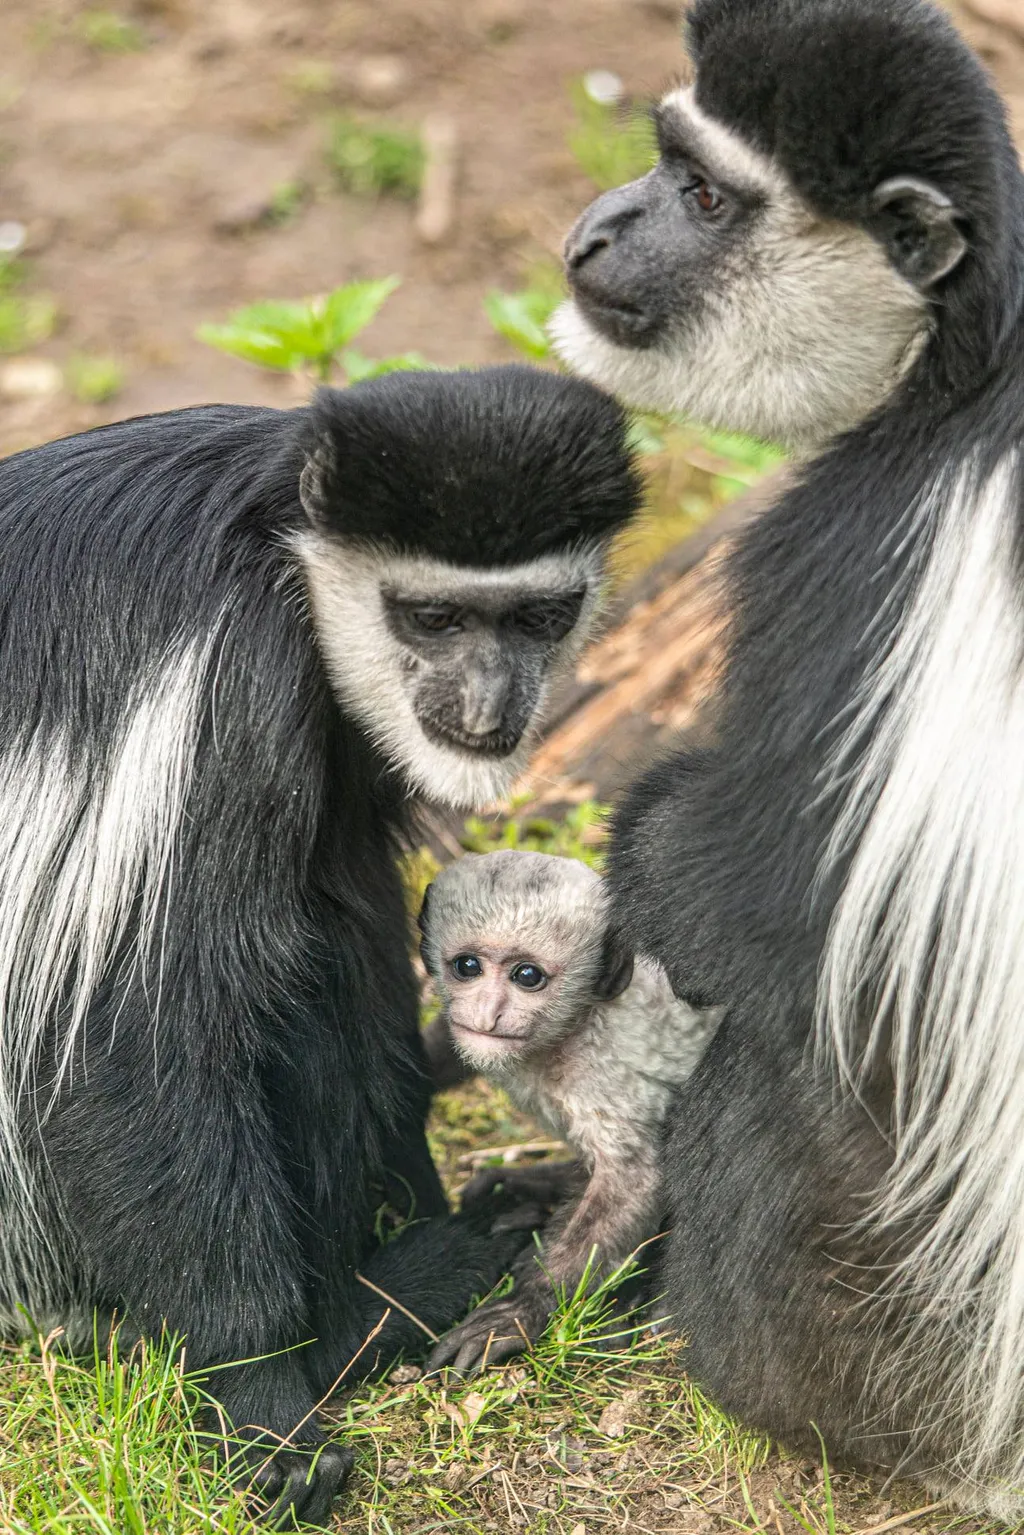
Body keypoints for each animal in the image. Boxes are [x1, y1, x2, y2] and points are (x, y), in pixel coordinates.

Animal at [0, 365, 644, 1528]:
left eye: (540, 615)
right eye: (431, 615)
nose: (488, 702)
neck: (282, 547)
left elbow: (356, 894)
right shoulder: (229, 685)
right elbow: (130, 1030)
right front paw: (261, 1411)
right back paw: (377, 1308)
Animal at [417, 847, 721, 1375]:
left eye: (527, 977)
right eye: (467, 966)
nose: (488, 1014)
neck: (571, 1029)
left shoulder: (602, 1075)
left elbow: (634, 1180)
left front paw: (519, 1310)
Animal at [552, 0, 1024, 1516]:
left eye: (705, 197)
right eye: (665, 156)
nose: (599, 229)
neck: (972, 364)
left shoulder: (862, 541)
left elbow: (749, 902)